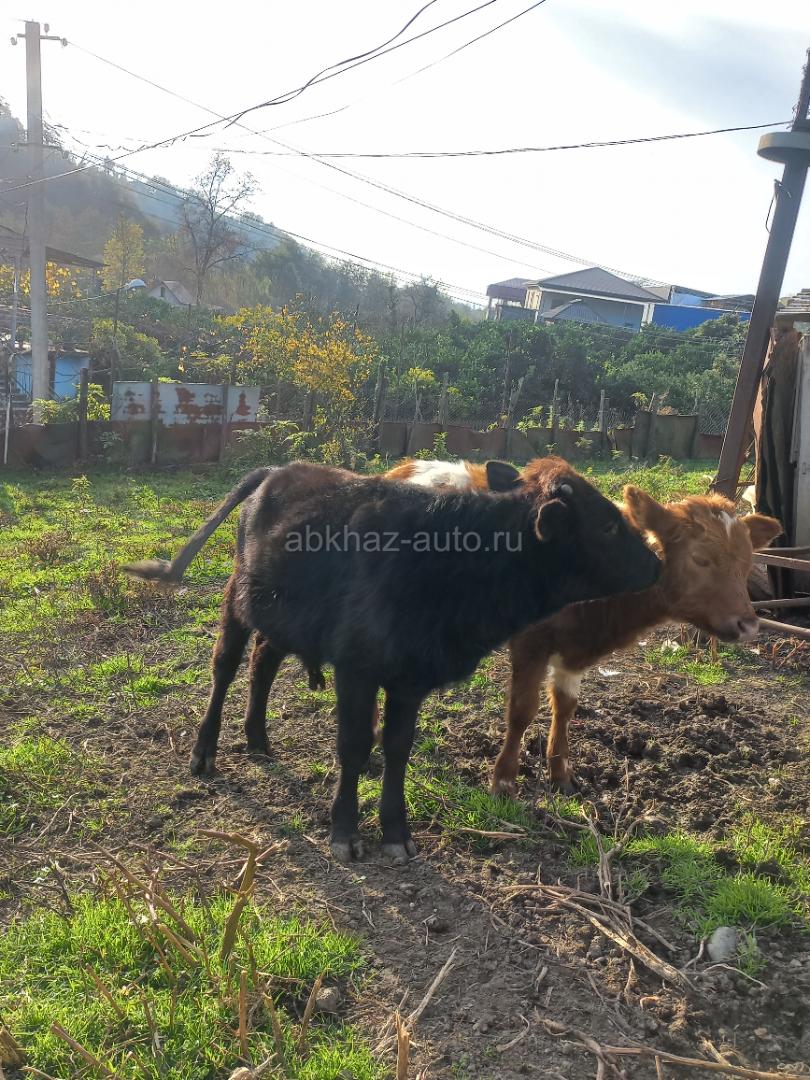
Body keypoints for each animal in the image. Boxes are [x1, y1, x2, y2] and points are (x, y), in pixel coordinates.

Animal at [126, 457, 660, 862]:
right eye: (609, 524)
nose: (655, 563)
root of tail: (278, 470)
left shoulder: (410, 678)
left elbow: (398, 748)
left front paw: (396, 832)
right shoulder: (356, 670)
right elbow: (355, 745)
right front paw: (345, 831)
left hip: (283, 615)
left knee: (264, 661)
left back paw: (258, 737)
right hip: (237, 599)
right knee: (226, 664)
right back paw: (204, 752)